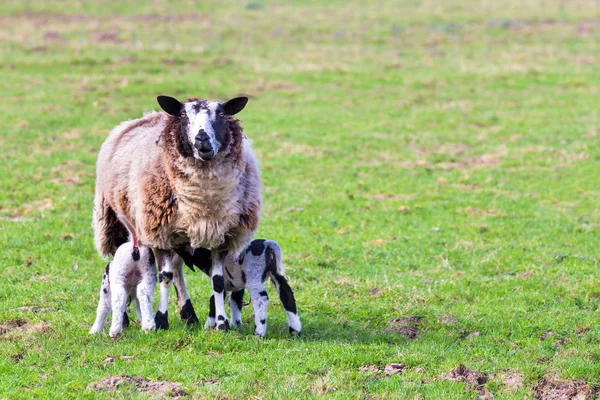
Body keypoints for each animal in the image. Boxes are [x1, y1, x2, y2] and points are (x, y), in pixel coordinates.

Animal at [92, 94, 262, 332]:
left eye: (221, 113)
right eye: (183, 115)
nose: (201, 139)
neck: (202, 201)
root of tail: (147, 115)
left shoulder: (221, 236)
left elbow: (217, 281)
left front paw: (221, 323)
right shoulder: (159, 234)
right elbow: (165, 277)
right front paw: (161, 320)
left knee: (178, 268)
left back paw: (189, 314)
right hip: (116, 223)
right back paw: (123, 319)